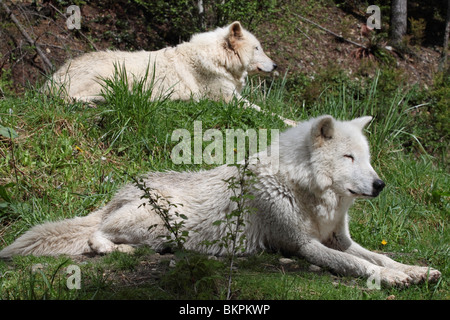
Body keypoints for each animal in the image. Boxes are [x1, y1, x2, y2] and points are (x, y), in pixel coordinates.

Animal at [47, 21, 298, 125]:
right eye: (258, 48)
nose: (276, 65)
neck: (218, 58)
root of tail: (50, 81)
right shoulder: (230, 101)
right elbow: (270, 113)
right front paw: (294, 122)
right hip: (112, 76)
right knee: (72, 98)